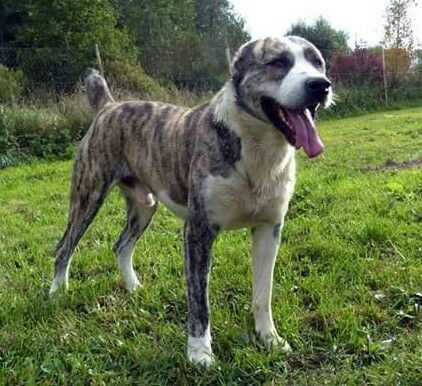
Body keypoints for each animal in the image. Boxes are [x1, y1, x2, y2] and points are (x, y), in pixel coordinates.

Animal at [50, 37, 332, 368]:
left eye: (317, 63)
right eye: (277, 62)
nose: (320, 85)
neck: (257, 148)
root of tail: (109, 106)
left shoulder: (269, 229)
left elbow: (263, 293)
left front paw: (269, 339)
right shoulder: (198, 232)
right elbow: (199, 301)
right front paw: (199, 353)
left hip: (144, 206)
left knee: (121, 245)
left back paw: (133, 287)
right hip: (88, 195)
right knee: (65, 247)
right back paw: (57, 291)